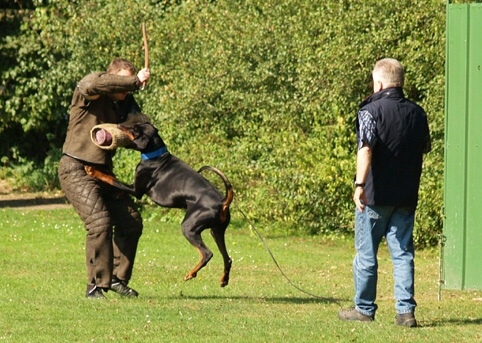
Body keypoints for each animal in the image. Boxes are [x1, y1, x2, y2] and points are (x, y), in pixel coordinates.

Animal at [85, 122, 234, 286]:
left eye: (133, 129)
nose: (118, 124)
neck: (155, 156)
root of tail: (223, 202)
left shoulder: (136, 189)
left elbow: (112, 179)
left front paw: (93, 170)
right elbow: (119, 185)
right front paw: (117, 193)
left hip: (189, 227)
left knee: (207, 253)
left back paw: (190, 274)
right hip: (217, 231)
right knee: (227, 258)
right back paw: (224, 280)